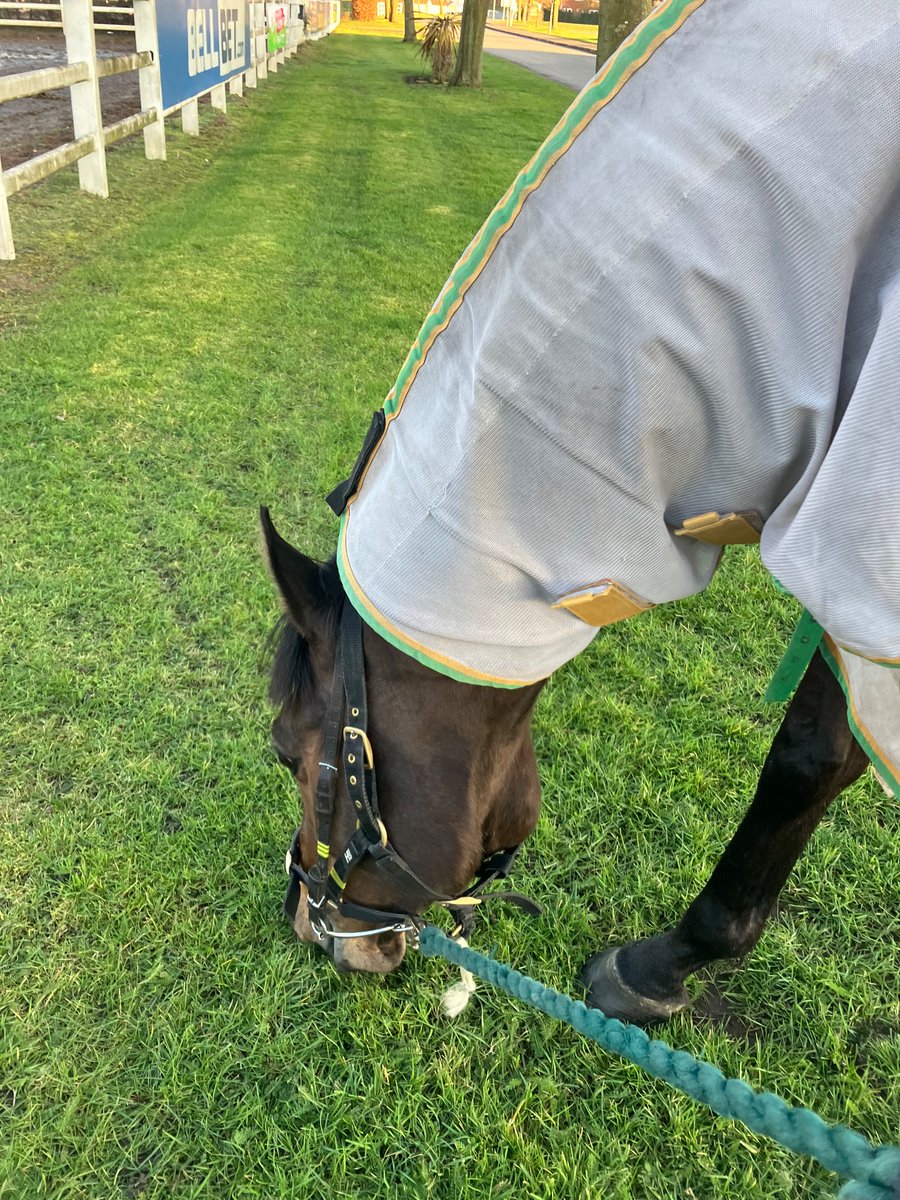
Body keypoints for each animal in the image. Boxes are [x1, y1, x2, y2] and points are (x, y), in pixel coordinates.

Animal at [263, 0, 900, 1024]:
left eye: (289, 755)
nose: (303, 924)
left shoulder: (860, 567)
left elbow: (803, 759)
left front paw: (658, 969)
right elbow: (820, 751)